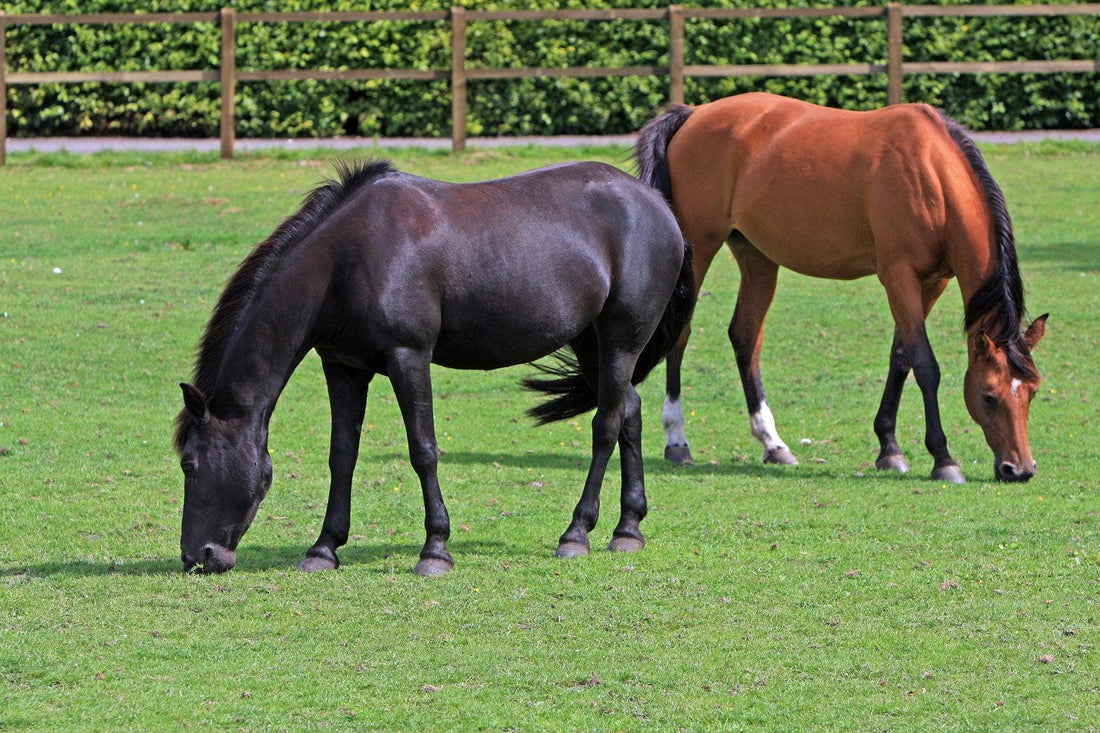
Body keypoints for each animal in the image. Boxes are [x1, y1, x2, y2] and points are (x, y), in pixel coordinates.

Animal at [174, 159, 694, 576]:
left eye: (189, 464)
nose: (197, 556)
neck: (347, 259)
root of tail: (657, 204)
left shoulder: (409, 357)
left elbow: (423, 450)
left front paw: (435, 550)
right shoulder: (344, 367)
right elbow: (342, 455)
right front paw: (324, 549)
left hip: (621, 340)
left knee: (605, 426)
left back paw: (577, 533)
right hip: (591, 344)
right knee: (628, 411)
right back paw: (627, 529)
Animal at [635, 92, 1046, 483]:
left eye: (1032, 391)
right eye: (989, 396)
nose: (1019, 469)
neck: (932, 175)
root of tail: (694, 114)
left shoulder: (933, 282)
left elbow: (901, 357)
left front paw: (889, 448)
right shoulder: (899, 276)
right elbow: (925, 364)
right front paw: (943, 458)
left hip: (756, 256)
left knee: (746, 337)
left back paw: (773, 443)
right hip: (700, 247)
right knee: (681, 334)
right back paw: (677, 440)